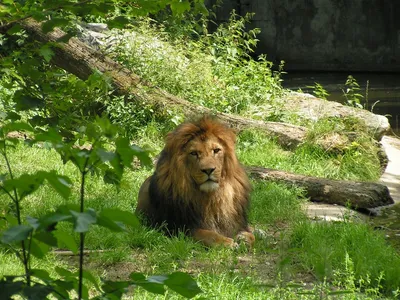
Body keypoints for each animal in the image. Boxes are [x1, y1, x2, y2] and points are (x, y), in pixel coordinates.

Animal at [137, 116, 256, 247]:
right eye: (194, 153)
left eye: (216, 150)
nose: (208, 170)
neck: (211, 197)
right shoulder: (176, 228)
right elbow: (206, 234)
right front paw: (226, 242)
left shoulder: (236, 222)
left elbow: (251, 235)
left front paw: (245, 237)